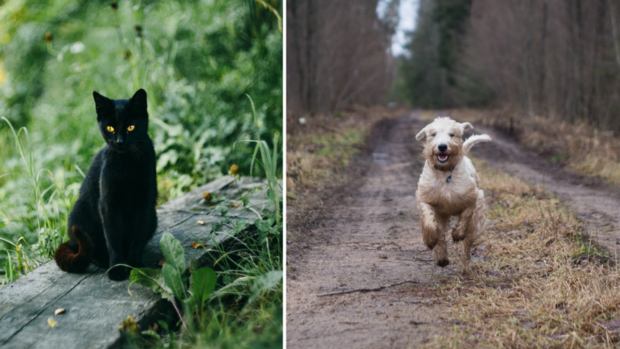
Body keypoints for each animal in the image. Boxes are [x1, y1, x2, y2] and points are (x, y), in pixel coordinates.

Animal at [54, 89, 159, 280]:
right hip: (81, 217)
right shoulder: (108, 204)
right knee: (90, 249)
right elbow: (113, 239)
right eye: (110, 128)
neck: (127, 164)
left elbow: (137, 237)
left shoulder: (144, 203)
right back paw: (104, 261)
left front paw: (135, 266)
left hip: (153, 218)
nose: (119, 141)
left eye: (131, 127)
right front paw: (117, 269)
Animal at [414, 117, 492, 266]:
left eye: (452, 134)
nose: (442, 146)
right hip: (442, 215)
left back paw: (466, 263)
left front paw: (457, 234)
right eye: (433, 134)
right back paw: (442, 257)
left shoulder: (473, 197)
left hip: (475, 223)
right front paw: (430, 240)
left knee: (468, 242)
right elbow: (430, 222)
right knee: (440, 233)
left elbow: (466, 215)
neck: (445, 173)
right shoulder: (425, 197)